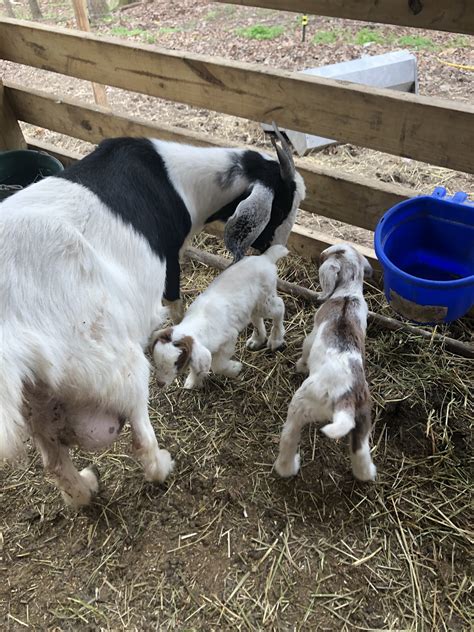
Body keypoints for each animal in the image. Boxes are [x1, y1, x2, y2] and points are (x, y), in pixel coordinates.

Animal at [0, 130, 304, 508]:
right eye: (284, 204)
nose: (278, 248)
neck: (178, 179)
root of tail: (15, 340)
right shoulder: (172, 256)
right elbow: (174, 298)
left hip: (38, 405)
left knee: (54, 461)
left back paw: (84, 489)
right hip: (114, 365)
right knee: (139, 436)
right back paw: (161, 466)